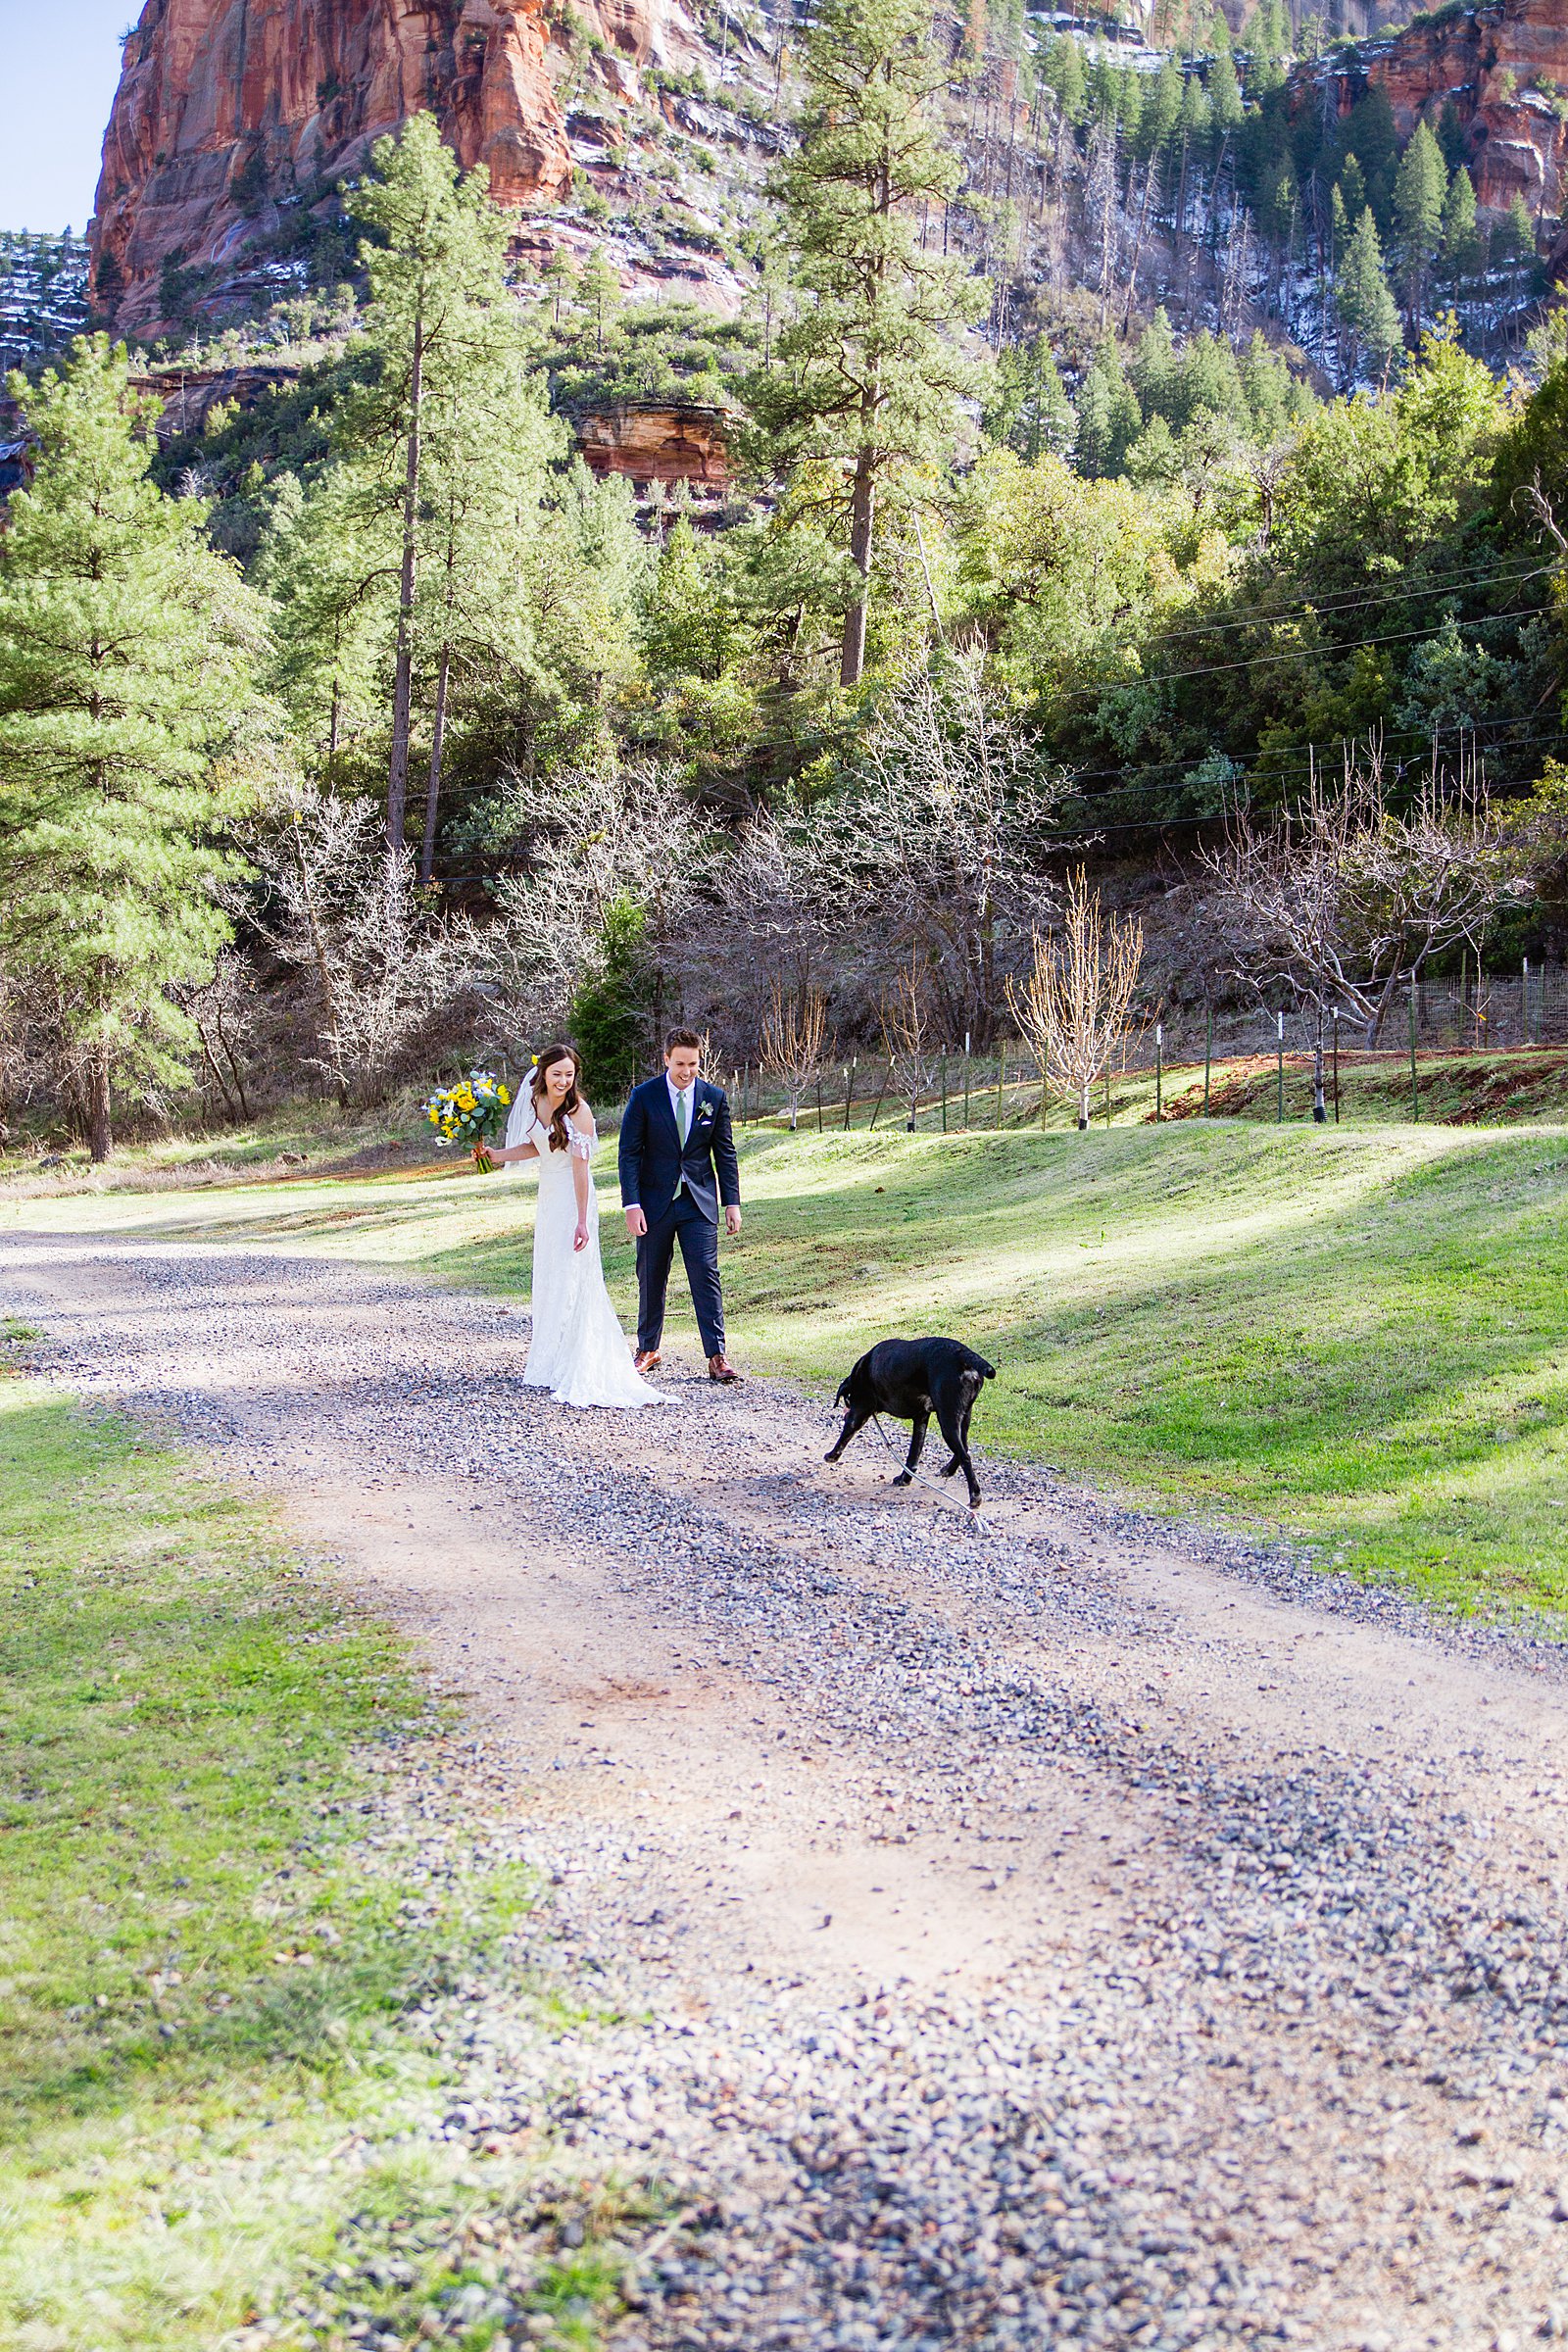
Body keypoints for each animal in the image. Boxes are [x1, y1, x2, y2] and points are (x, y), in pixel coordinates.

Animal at [827, 1345, 1001, 1505]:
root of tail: (964, 1354)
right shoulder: (921, 1419)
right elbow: (913, 1456)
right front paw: (904, 1478)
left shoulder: (859, 1411)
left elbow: (845, 1436)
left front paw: (832, 1455)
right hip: (963, 1418)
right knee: (964, 1448)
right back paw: (948, 1470)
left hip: (947, 1420)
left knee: (965, 1457)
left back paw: (975, 1495)